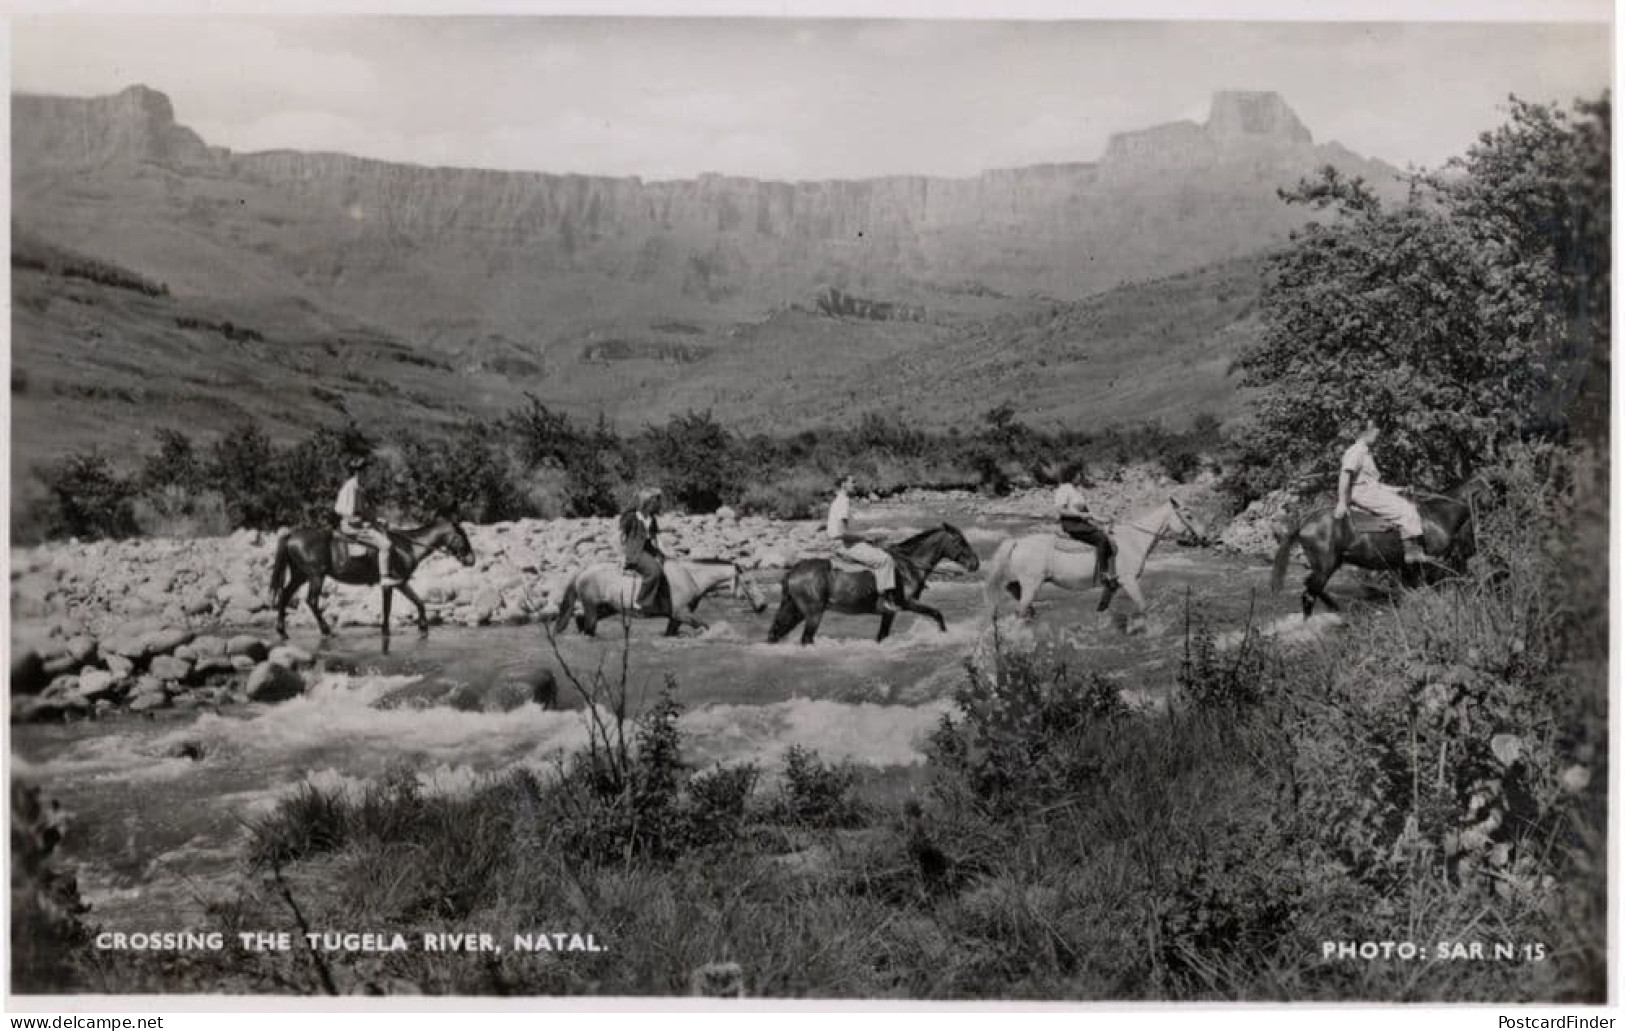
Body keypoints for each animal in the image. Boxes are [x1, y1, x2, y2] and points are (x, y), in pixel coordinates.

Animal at [268, 517, 474, 637]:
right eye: (462, 535)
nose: (472, 559)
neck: (406, 546)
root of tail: (291, 535)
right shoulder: (392, 583)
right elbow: (390, 607)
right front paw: (388, 630)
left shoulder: (400, 582)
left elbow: (417, 602)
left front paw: (423, 625)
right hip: (316, 575)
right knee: (311, 601)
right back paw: (326, 630)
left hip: (301, 575)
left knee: (285, 595)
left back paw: (281, 630)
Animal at [552, 552, 767, 634]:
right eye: (748, 581)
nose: (763, 605)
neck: (690, 576)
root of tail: (583, 570)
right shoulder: (681, 613)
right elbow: (703, 625)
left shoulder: (675, 617)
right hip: (592, 608)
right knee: (587, 624)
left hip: (605, 608)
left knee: (581, 621)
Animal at [763, 520, 975, 643]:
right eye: (960, 541)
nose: (976, 563)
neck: (908, 566)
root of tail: (792, 572)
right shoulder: (907, 603)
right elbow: (937, 614)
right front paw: (944, 635)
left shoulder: (889, 613)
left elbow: (882, 636)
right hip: (813, 613)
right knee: (806, 638)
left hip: (795, 610)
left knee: (776, 633)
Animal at [981, 494, 1202, 630]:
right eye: (1189, 515)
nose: (1204, 537)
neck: (1134, 540)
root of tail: (1018, 541)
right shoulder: (1129, 581)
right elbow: (1142, 605)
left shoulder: (1112, 586)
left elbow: (1102, 608)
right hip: (1032, 584)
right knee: (1020, 611)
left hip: (1021, 584)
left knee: (1018, 601)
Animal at [1267, 474, 1488, 614]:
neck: (1438, 515)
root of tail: (1304, 523)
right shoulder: (1430, 563)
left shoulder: (1408, 568)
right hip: (1325, 567)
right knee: (1309, 594)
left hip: (1329, 565)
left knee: (1311, 588)